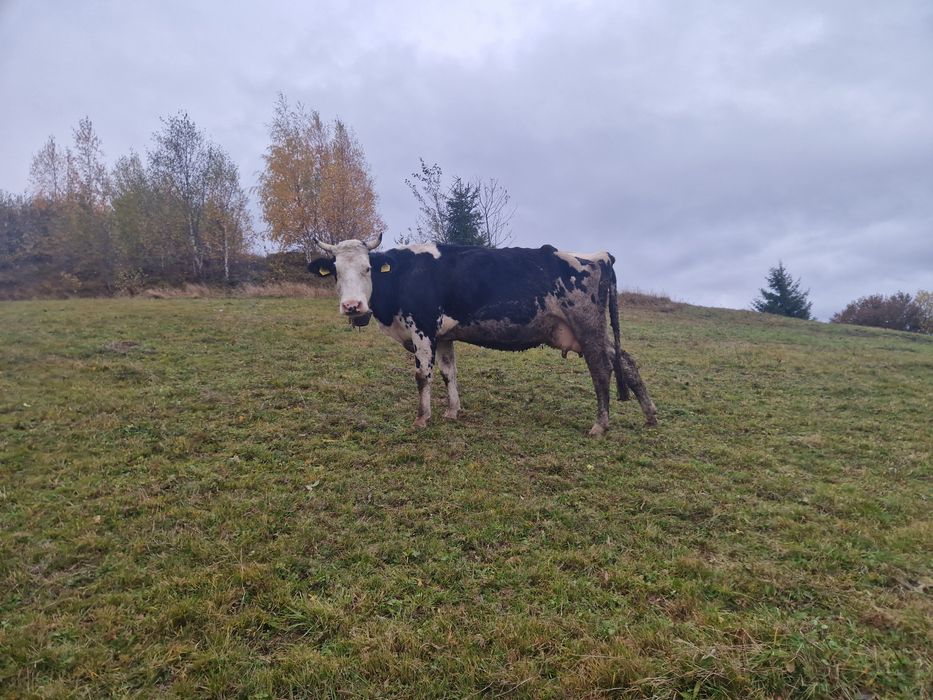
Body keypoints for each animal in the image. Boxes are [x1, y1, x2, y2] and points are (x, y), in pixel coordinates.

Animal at [309, 232, 658, 436]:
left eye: (368, 268)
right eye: (336, 271)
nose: (352, 306)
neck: (404, 275)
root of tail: (599, 255)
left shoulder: (422, 328)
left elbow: (423, 375)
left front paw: (422, 418)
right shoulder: (444, 336)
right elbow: (449, 373)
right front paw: (452, 411)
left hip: (587, 327)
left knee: (601, 369)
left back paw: (600, 424)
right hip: (588, 331)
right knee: (626, 360)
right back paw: (650, 415)